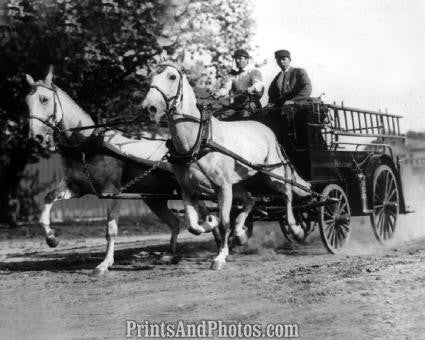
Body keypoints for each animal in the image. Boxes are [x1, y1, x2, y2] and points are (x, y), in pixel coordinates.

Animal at [24, 68, 187, 276]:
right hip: (154, 199)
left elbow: (111, 230)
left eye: (44, 99)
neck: (86, 145)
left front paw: (104, 264)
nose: (35, 136)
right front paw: (52, 238)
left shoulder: (112, 192)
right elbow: (48, 198)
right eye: (27, 102)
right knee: (175, 222)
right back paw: (170, 255)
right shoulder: (76, 187)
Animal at [141, 60, 310, 268]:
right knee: (250, 200)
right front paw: (210, 222)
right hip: (237, 184)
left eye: (172, 76)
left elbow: (224, 222)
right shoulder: (188, 189)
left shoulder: (222, 187)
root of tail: (268, 130)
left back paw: (296, 228)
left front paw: (220, 257)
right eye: (150, 77)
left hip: (272, 174)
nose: (149, 108)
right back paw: (241, 233)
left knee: (287, 193)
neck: (199, 141)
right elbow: (193, 224)